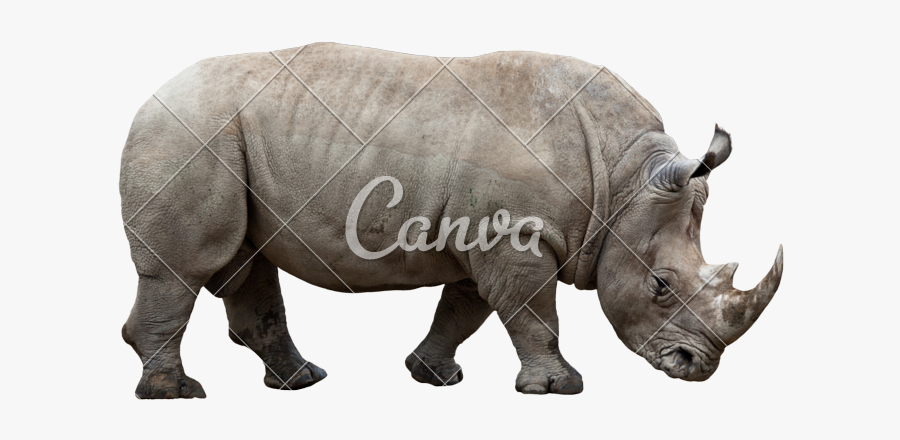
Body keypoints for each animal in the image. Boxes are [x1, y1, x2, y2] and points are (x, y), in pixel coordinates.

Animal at [120, 42, 784, 399]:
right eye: (661, 287)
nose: (697, 368)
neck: (624, 181)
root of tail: (151, 96)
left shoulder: (490, 231)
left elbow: (466, 309)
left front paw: (433, 376)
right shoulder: (515, 233)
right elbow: (534, 315)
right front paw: (560, 389)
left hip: (215, 136)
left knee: (243, 263)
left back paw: (302, 381)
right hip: (187, 133)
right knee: (185, 269)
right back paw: (176, 395)